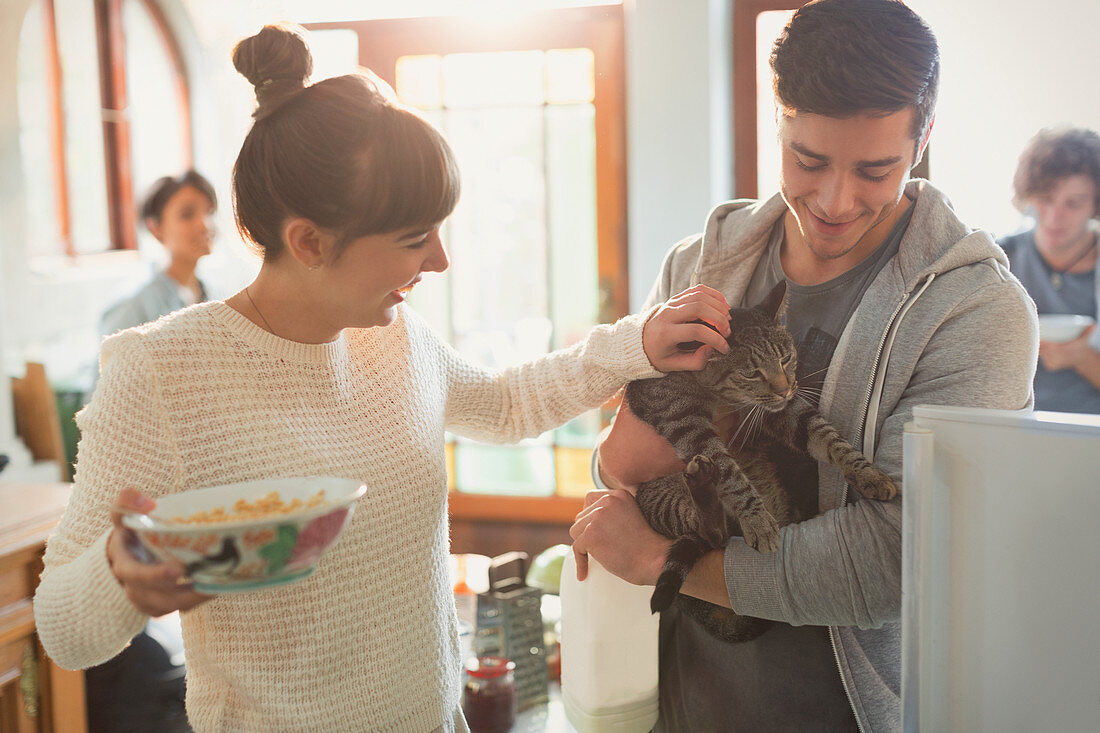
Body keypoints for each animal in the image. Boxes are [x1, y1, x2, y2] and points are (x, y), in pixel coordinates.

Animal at [624, 279, 897, 638]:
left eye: (786, 358)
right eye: (752, 373)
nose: (784, 389)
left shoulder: (782, 412)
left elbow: (827, 435)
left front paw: (867, 472)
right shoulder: (683, 418)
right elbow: (729, 471)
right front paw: (755, 517)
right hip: (658, 494)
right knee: (711, 534)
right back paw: (709, 489)